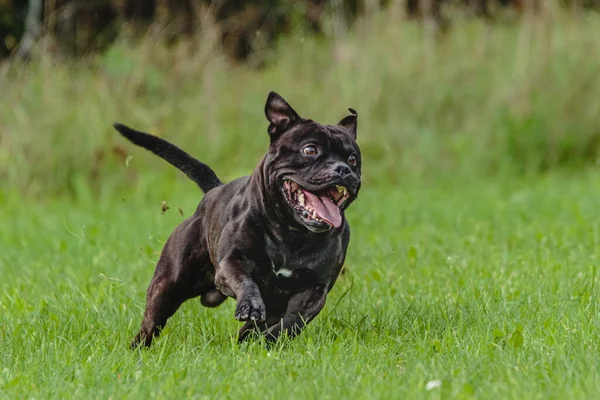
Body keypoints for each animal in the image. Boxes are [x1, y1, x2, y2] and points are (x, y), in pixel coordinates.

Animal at [115, 91, 364, 346]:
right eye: (310, 150)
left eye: (353, 159)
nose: (342, 168)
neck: (291, 231)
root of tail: (214, 191)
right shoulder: (231, 264)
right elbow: (246, 282)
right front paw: (250, 307)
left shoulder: (314, 289)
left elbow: (293, 321)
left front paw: (269, 339)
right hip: (168, 285)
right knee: (151, 323)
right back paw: (138, 347)